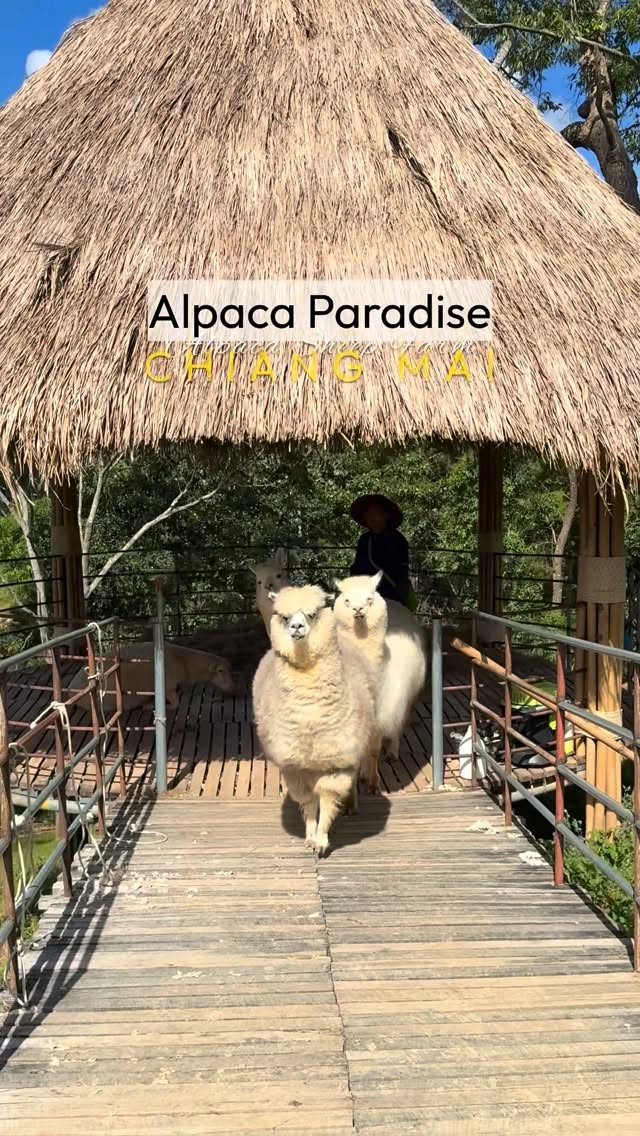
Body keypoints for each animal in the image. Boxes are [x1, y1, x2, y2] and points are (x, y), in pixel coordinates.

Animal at [67, 641, 234, 714]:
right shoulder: (168, 686)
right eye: (220, 671)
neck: (185, 661)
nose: (232, 686)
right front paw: (150, 706)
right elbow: (175, 704)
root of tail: (70, 690)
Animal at [252, 584, 377, 855]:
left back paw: (351, 806)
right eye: (284, 616)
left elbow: (327, 798)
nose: (296, 627)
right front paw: (310, 836)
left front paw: (321, 840)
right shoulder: (294, 765)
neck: (309, 718)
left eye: (313, 614)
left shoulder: (337, 762)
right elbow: (308, 800)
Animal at [334, 573, 428, 781]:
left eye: (369, 598)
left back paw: (393, 752)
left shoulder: (381, 715)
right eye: (346, 600)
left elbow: (374, 750)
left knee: (399, 726)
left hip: (407, 698)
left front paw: (373, 780)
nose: (358, 609)